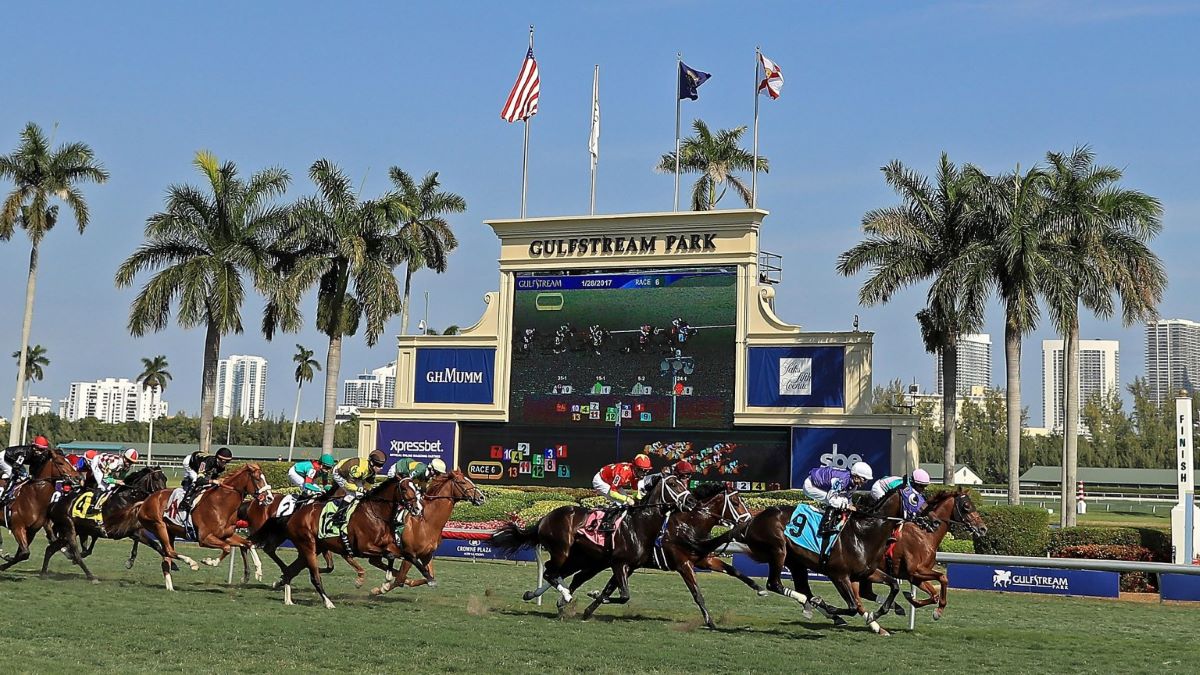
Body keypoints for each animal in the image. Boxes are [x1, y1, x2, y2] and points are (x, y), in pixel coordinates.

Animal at [39, 466, 170, 581]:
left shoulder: (133, 529)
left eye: (165, 478)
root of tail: (54, 504)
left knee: (50, 549)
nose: (164, 497)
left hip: (70, 532)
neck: (127, 498)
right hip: (68, 527)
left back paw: (44, 573)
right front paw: (130, 561)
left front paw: (171, 565)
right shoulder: (119, 531)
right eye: (156, 478)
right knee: (75, 553)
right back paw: (90, 576)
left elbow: (156, 545)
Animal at [137, 461, 273, 588]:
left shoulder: (226, 535)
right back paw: (192, 563)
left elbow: (248, 543)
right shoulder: (204, 538)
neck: (221, 504)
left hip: (170, 532)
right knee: (169, 551)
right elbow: (227, 548)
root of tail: (145, 502)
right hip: (159, 527)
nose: (270, 498)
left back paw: (170, 587)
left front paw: (258, 571)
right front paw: (209, 561)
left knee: (167, 555)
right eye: (257, 478)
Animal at [276, 475, 432, 607]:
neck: (376, 514)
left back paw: (288, 599)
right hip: (308, 547)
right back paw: (328, 602)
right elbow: (390, 555)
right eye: (404, 489)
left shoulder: (391, 545)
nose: (418, 508)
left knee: (290, 570)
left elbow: (408, 555)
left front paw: (429, 578)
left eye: (416, 488)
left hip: (314, 548)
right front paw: (384, 581)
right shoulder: (363, 548)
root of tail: (294, 515)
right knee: (314, 577)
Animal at [487, 473, 696, 614]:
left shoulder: (629, 566)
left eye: (683, 482)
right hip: (563, 551)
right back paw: (566, 595)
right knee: (549, 571)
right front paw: (594, 595)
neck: (639, 524)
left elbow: (618, 594)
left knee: (560, 573)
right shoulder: (619, 564)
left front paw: (594, 596)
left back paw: (542, 594)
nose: (692, 501)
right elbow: (624, 596)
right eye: (672, 484)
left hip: (582, 558)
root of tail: (544, 518)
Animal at [864, 485, 984, 619]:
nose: (983, 528)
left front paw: (912, 599)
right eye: (966, 506)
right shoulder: (916, 570)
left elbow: (934, 595)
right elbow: (943, 577)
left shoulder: (915, 576)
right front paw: (939, 610)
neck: (926, 534)